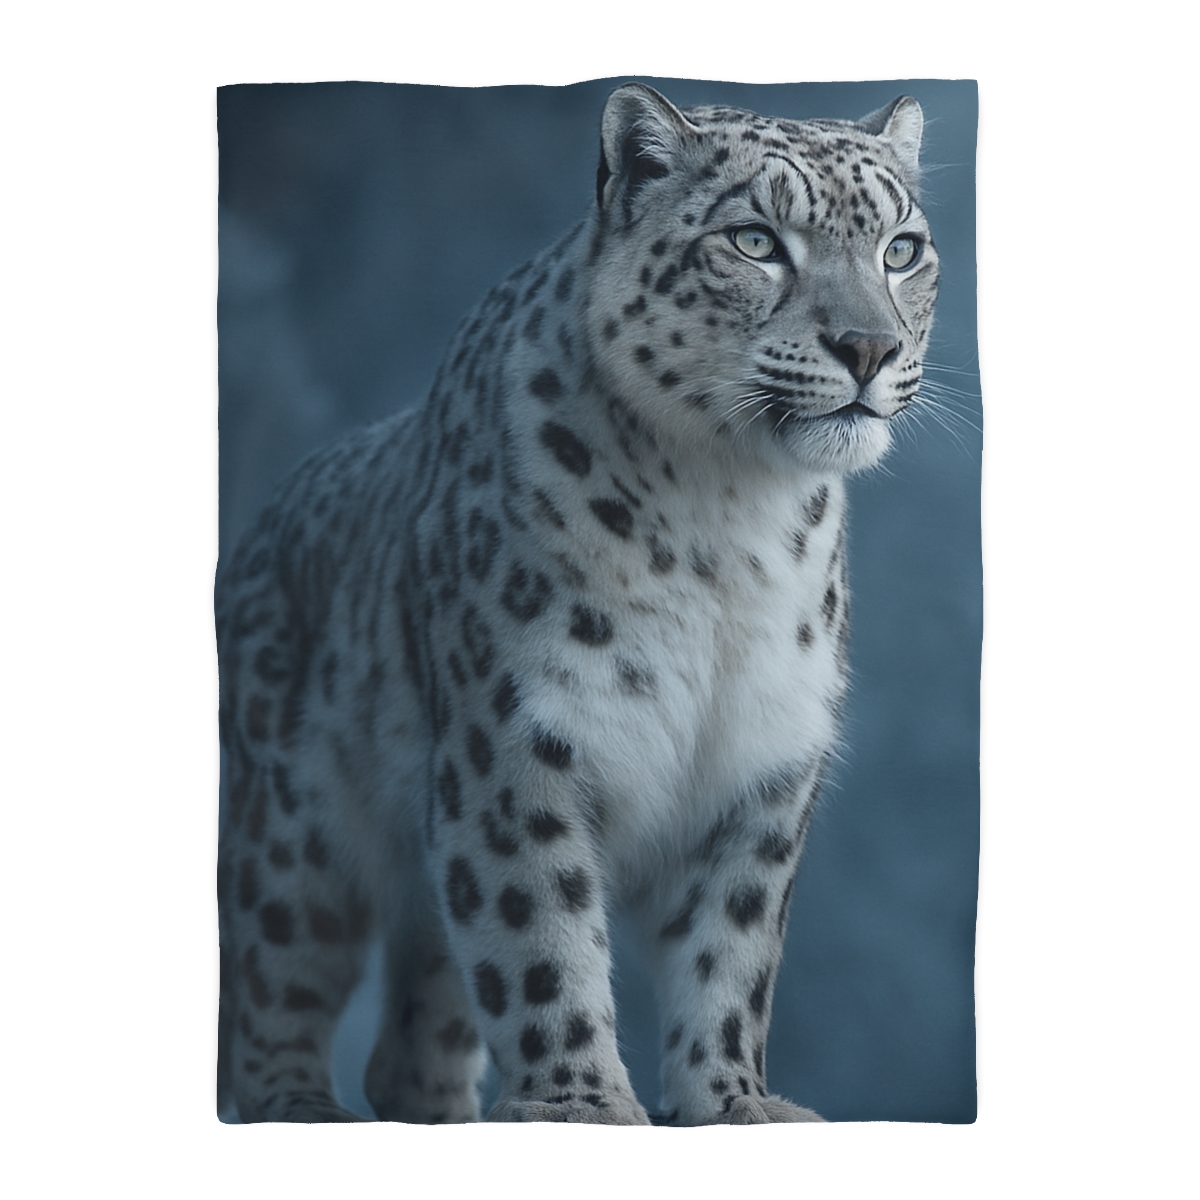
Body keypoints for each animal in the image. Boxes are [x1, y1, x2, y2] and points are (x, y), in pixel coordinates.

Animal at [216, 82, 940, 1125]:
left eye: (902, 249)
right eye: (755, 240)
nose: (869, 347)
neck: (733, 523)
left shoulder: (763, 767)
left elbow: (732, 950)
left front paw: (736, 1101)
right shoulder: (517, 744)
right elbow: (539, 933)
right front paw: (582, 1105)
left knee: (417, 1035)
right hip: (290, 830)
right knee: (275, 987)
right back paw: (305, 1108)